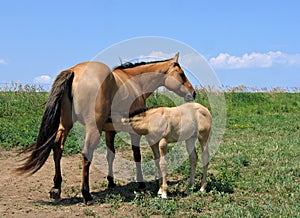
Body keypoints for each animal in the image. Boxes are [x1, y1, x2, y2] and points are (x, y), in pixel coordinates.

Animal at [15, 53, 195, 204]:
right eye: (181, 74)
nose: (193, 93)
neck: (135, 81)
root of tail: (74, 72)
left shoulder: (109, 131)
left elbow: (111, 155)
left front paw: (111, 181)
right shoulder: (134, 131)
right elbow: (136, 155)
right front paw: (141, 183)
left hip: (65, 125)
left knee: (57, 149)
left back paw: (56, 188)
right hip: (92, 129)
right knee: (86, 153)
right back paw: (86, 194)